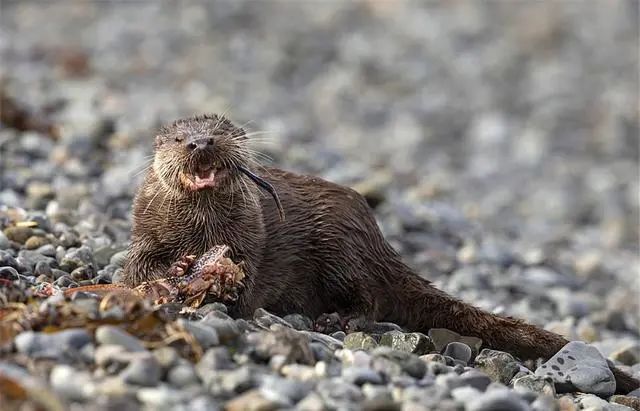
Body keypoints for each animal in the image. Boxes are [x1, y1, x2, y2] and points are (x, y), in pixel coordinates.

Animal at [121, 114, 640, 394]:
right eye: (178, 138)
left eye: (219, 130)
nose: (200, 142)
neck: (199, 232)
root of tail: (379, 238)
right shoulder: (144, 233)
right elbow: (135, 271)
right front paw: (169, 276)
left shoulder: (253, 239)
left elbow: (245, 287)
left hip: (341, 246)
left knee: (370, 298)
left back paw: (336, 319)